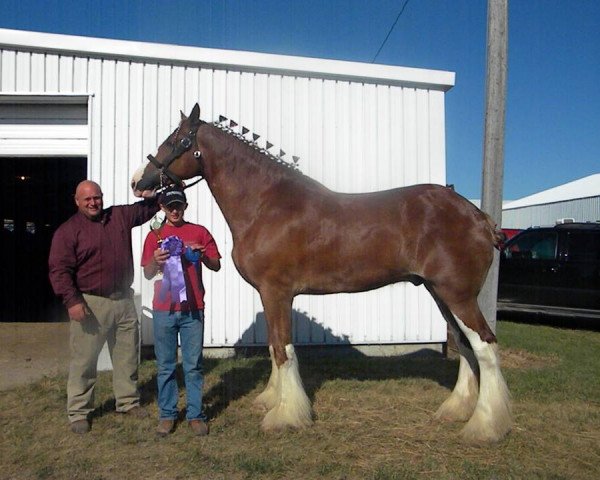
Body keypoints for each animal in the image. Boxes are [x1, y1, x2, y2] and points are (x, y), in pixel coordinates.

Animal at [131, 103, 510, 444]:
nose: (137, 181)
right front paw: (271, 401)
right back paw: (456, 410)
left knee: (484, 345)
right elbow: (274, 346)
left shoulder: (277, 292)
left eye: (176, 140)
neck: (267, 204)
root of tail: (479, 217)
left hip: (457, 295)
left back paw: (484, 427)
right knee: (465, 345)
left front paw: (285, 416)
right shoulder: (269, 295)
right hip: (440, 293)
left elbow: (283, 350)